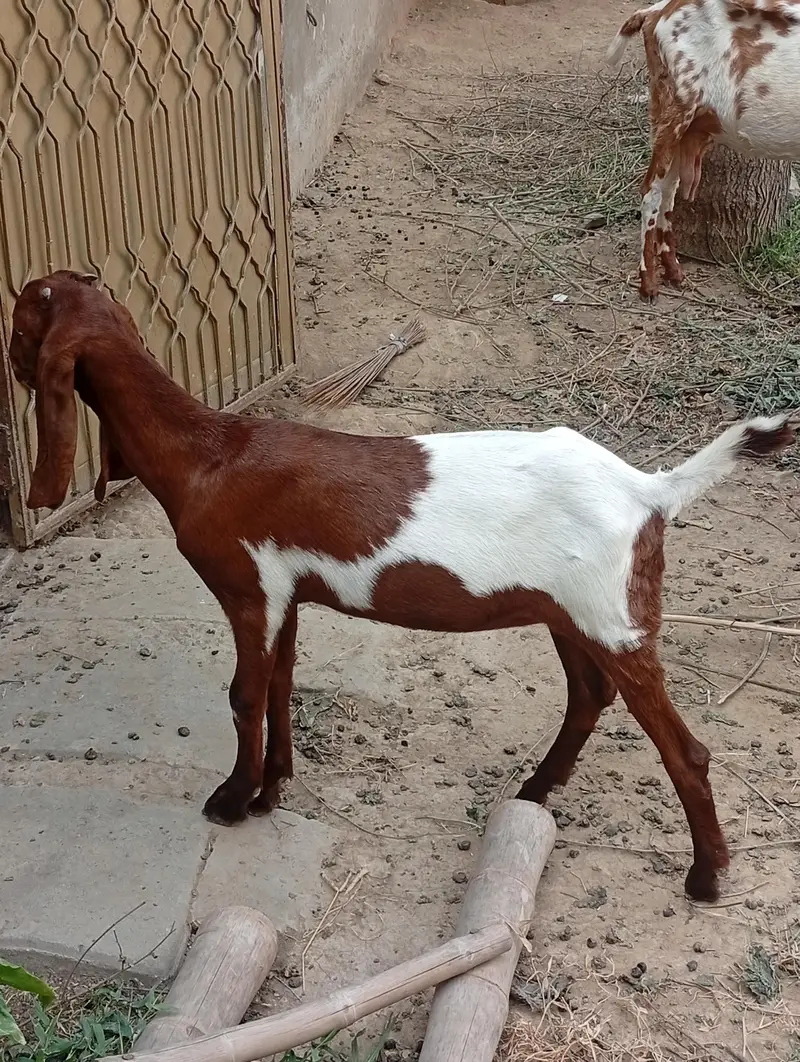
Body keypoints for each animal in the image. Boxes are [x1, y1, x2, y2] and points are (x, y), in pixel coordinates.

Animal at [8, 271, 795, 902]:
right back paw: (536, 791)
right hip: (569, 611)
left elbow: (243, 695)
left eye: (17, 322)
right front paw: (272, 789)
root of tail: (649, 490)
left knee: (683, 749)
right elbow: (282, 683)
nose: (12, 366)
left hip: (612, 615)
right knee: (589, 693)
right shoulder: (287, 594)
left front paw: (232, 801)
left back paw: (705, 878)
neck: (208, 456)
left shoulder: (248, 589)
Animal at [607, 0, 800, 300]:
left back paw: (673, 272)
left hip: (688, 126)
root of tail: (655, 11)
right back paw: (648, 283)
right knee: (651, 190)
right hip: (673, 108)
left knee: (668, 190)